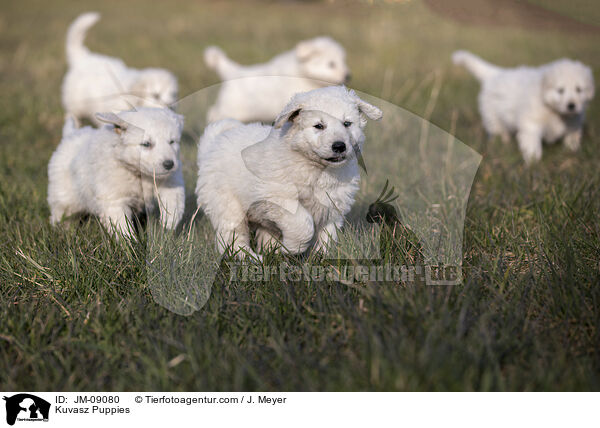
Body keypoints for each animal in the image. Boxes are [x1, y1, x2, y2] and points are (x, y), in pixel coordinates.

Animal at [47, 105, 185, 236]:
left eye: (172, 142)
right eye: (146, 144)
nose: (169, 164)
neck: (139, 174)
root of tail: (71, 134)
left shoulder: (171, 182)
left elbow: (172, 202)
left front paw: (168, 225)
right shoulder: (114, 199)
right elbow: (122, 225)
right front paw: (130, 242)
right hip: (64, 197)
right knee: (61, 214)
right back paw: (63, 231)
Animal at [197, 85, 384, 260]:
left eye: (347, 123)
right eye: (319, 126)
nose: (339, 146)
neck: (315, 167)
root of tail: (214, 142)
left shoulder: (333, 203)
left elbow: (328, 234)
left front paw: (320, 257)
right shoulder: (279, 197)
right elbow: (303, 223)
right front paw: (292, 248)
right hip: (227, 204)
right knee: (232, 238)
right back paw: (253, 258)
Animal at [204, 35, 350, 123]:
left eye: (344, 61)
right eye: (331, 64)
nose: (348, 76)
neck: (303, 74)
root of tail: (232, 72)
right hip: (231, 109)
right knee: (213, 113)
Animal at [454, 49, 596, 164]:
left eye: (579, 89)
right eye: (560, 90)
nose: (571, 105)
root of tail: (496, 74)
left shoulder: (573, 123)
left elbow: (572, 138)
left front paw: (571, 153)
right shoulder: (531, 122)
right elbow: (532, 142)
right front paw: (533, 161)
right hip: (493, 118)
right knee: (499, 132)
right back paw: (503, 144)